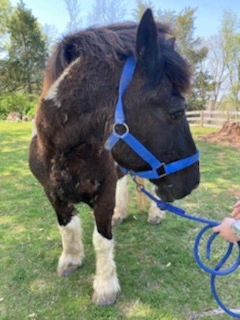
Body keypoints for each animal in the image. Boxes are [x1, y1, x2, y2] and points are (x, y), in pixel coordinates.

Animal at [29, 8, 200, 306]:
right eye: (176, 112)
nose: (193, 181)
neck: (61, 151)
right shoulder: (53, 194)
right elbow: (67, 227)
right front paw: (71, 261)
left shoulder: (104, 195)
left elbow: (101, 240)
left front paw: (105, 287)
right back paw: (122, 214)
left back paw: (155, 213)